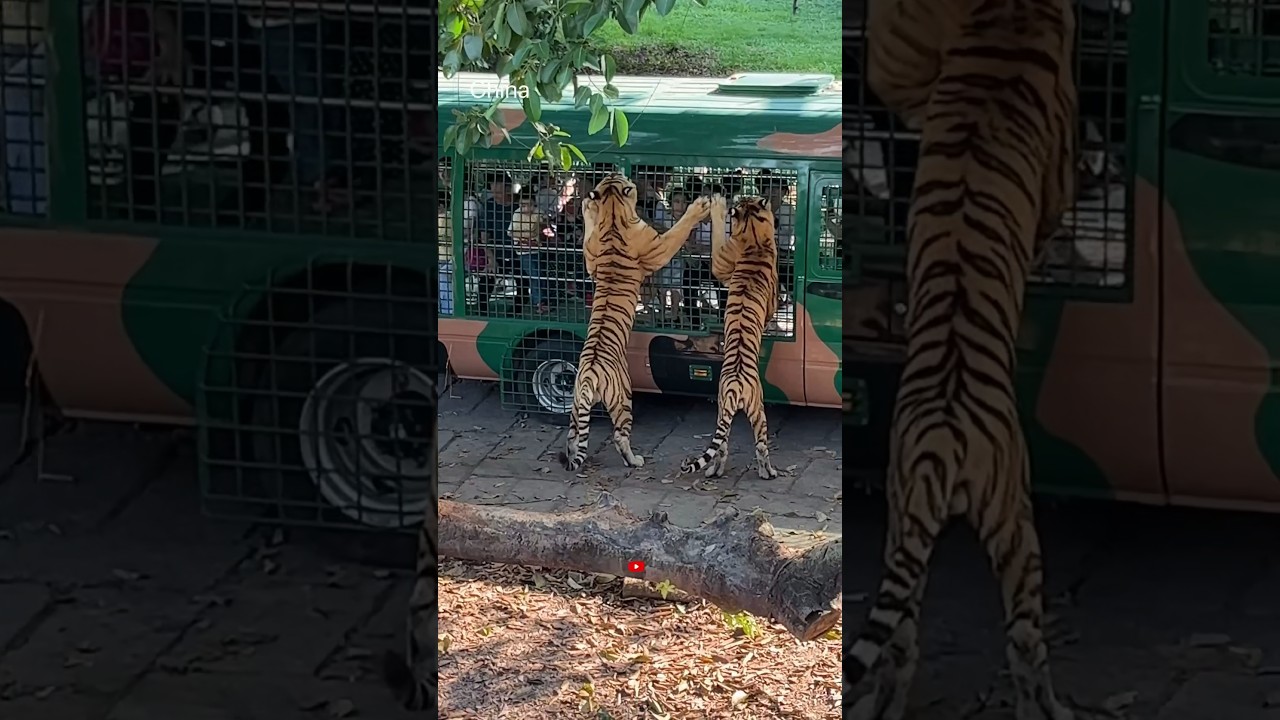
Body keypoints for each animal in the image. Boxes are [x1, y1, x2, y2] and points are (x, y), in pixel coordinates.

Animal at [558, 174, 722, 471]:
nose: (628, 176)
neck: (613, 212)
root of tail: (589, 378)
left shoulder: (591, 258)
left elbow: (587, 241)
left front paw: (588, 208)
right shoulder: (659, 247)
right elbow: (678, 231)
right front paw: (699, 207)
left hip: (576, 406)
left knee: (573, 435)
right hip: (624, 397)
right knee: (619, 436)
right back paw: (635, 460)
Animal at [680, 197, 780, 480]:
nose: (736, 197)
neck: (754, 233)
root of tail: (735, 384)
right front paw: (716, 204)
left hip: (722, 410)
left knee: (721, 448)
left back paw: (714, 471)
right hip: (759, 411)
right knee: (761, 446)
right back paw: (768, 472)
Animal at [844, 1, 1078, 720]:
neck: (1003, 15)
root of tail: (941, 440)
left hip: (903, 525)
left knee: (899, 641)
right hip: (1016, 526)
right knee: (1024, 645)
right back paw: (1050, 707)